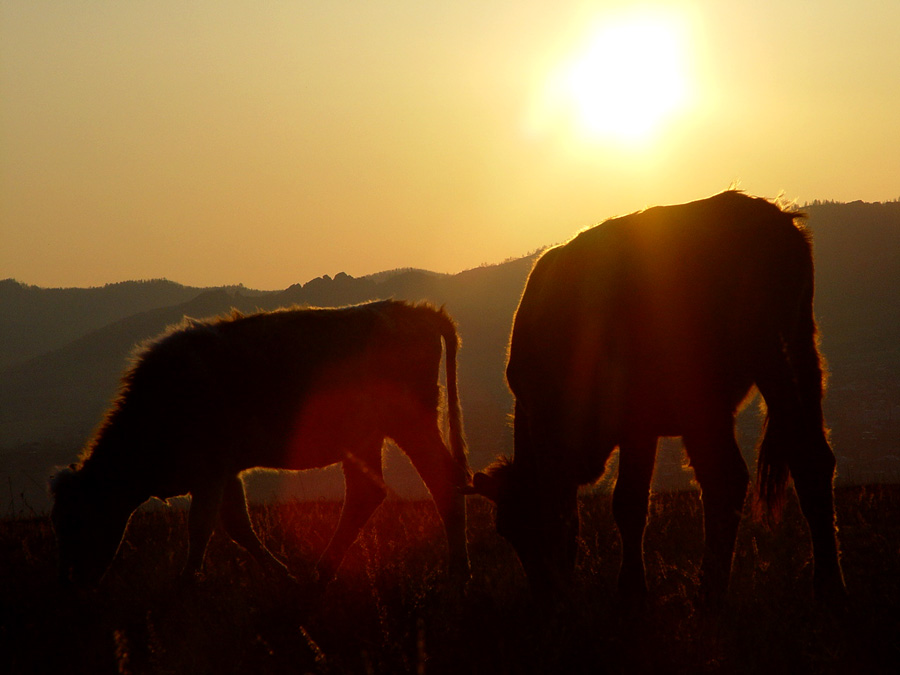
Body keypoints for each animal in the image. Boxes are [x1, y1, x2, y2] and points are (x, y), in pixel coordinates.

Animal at [52, 302, 472, 592]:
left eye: (78, 519)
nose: (71, 582)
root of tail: (413, 310)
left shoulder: (210, 471)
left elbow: (201, 526)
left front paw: (185, 584)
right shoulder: (225, 472)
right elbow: (238, 525)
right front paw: (282, 574)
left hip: (410, 424)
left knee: (440, 481)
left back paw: (457, 573)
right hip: (365, 439)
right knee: (366, 494)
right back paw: (320, 573)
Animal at [468, 193, 848, 604]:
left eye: (521, 527)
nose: (546, 594)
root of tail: (766, 215)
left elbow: (613, 504)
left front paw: (630, 590)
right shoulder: (642, 426)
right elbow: (631, 503)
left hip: (718, 384)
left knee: (728, 477)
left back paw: (710, 590)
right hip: (793, 357)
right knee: (807, 461)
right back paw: (827, 585)